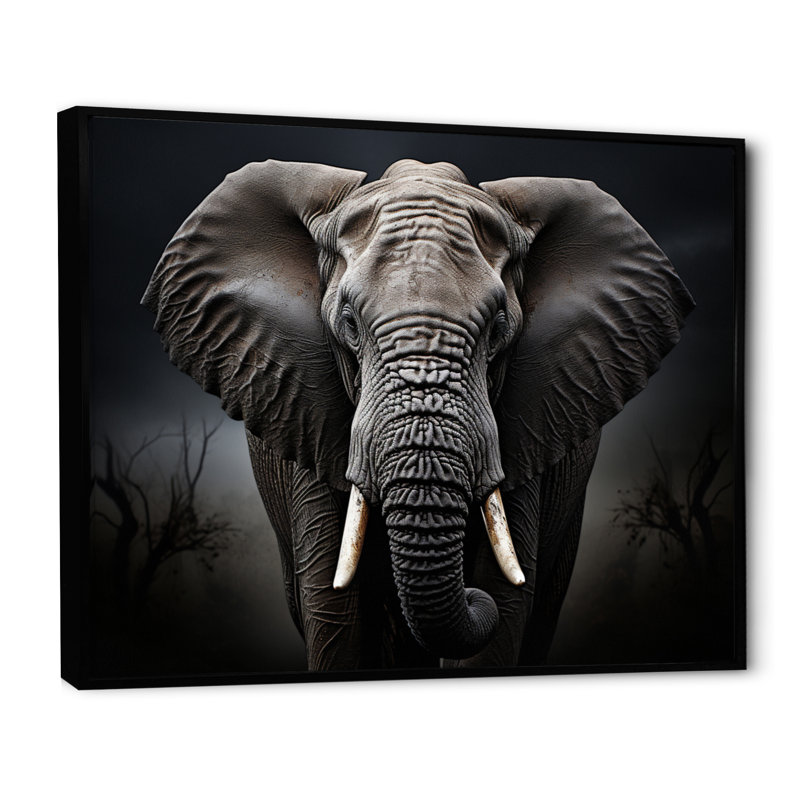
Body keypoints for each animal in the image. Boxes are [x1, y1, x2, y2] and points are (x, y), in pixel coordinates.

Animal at [142, 158, 694, 671]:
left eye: (498, 327)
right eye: (348, 323)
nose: (471, 600)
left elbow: (507, 603)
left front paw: (486, 595)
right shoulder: (304, 409)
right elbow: (333, 609)